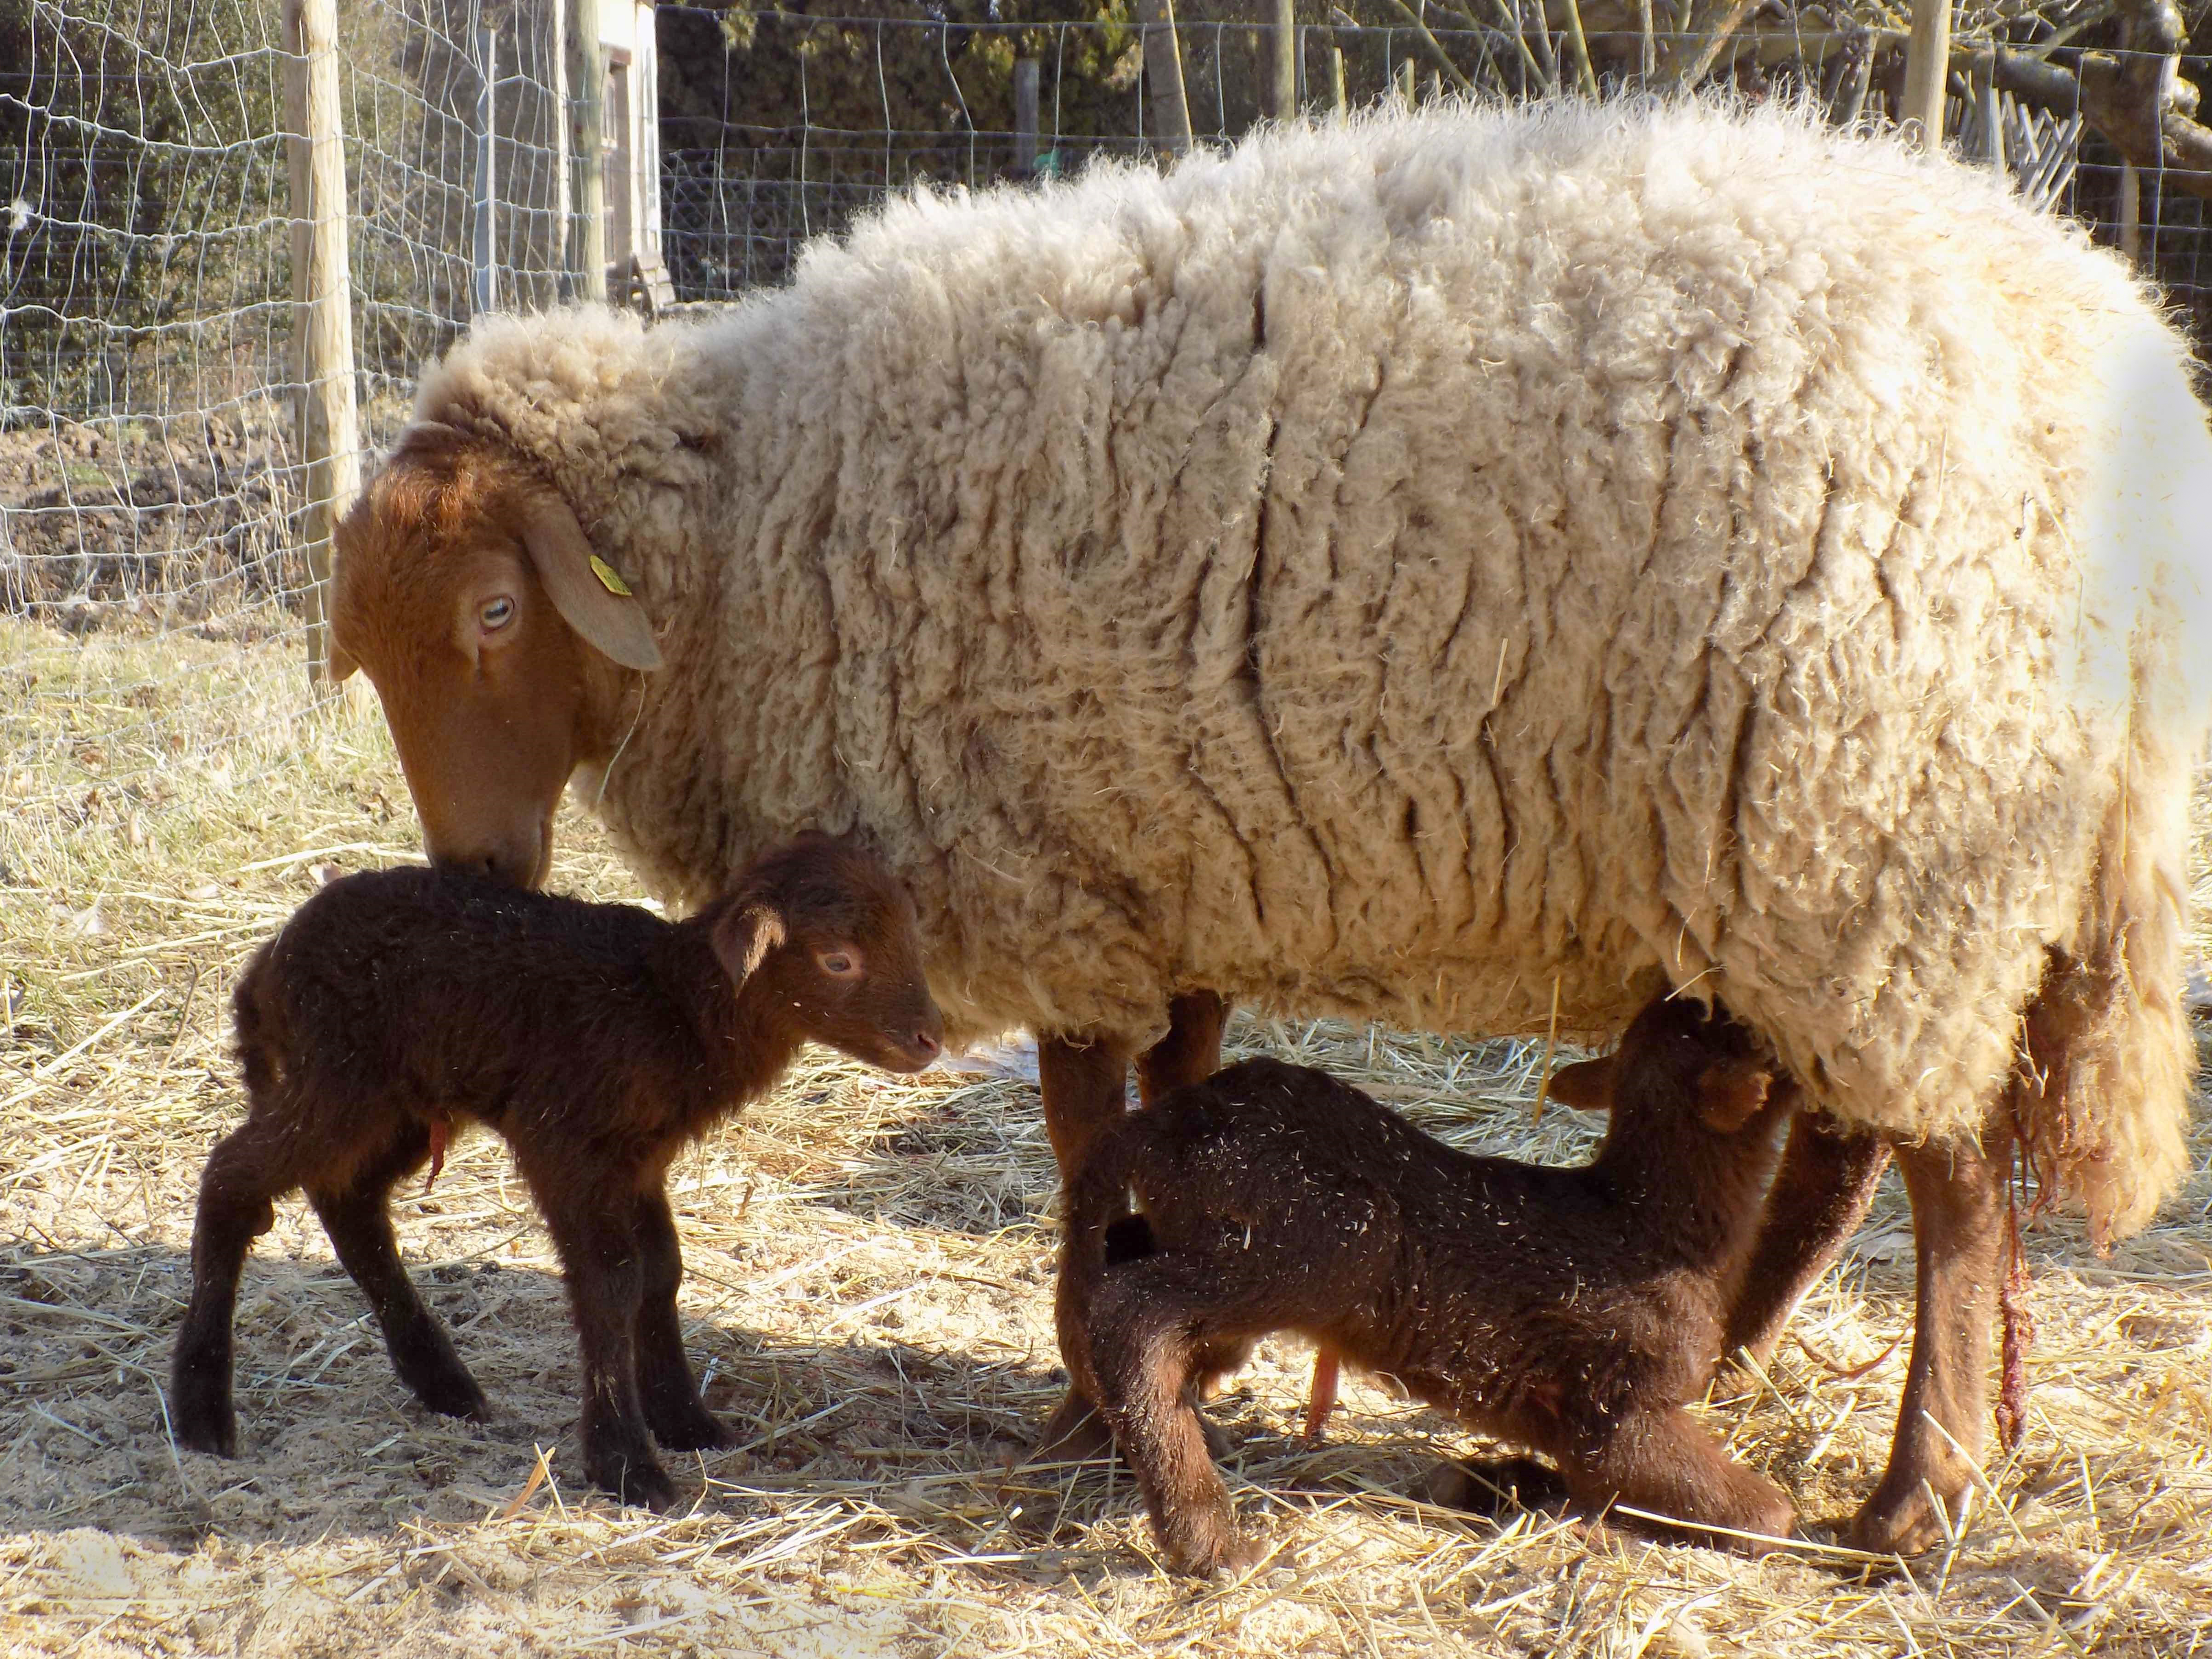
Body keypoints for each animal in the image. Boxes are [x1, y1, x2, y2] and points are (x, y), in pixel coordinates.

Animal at [168, 836, 938, 1513]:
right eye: (838, 960)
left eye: (910, 936)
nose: (930, 1040)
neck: (673, 1008)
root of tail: (266, 964)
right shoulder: (565, 1145)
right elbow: (610, 1282)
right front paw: (626, 1463)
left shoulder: (638, 1160)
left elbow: (661, 1271)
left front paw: (685, 1421)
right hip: (340, 1079)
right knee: (232, 1177)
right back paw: (201, 1409)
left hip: (405, 1102)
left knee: (349, 1202)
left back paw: (443, 1383)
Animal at [1048, 995, 1796, 1574]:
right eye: (1742, 1032)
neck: (1644, 1219)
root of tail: (1160, 1123)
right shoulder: (1618, 1403)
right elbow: (1760, 1514)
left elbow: (1588, 1480)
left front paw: (1498, 1481)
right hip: (1327, 1244)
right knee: (1135, 1313)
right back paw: (1208, 1539)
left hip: (1200, 1227)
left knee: (1114, 1257)